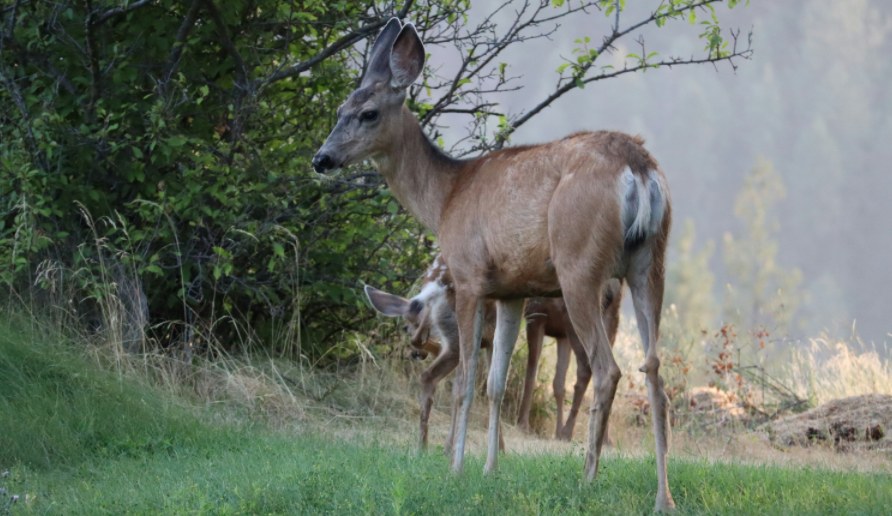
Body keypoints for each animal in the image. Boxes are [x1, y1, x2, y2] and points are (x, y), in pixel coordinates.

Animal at [318, 18, 672, 510]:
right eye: (339, 108)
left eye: (368, 113)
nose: (321, 158)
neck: (446, 196)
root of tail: (638, 167)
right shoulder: (512, 290)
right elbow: (496, 383)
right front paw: (489, 470)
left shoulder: (469, 277)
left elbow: (465, 380)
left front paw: (455, 468)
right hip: (650, 262)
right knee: (655, 370)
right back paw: (663, 498)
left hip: (579, 264)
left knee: (608, 369)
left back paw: (587, 481)